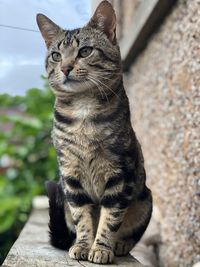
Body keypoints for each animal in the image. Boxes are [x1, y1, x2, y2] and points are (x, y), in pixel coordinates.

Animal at [36, 0, 152, 266]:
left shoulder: (119, 174)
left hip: (145, 200)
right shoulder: (70, 175)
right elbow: (82, 217)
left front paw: (100, 248)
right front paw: (82, 245)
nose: (66, 67)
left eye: (85, 51)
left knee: (131, 233)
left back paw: (120, 245)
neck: (83, 111)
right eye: (56, 56)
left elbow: (110, 218)